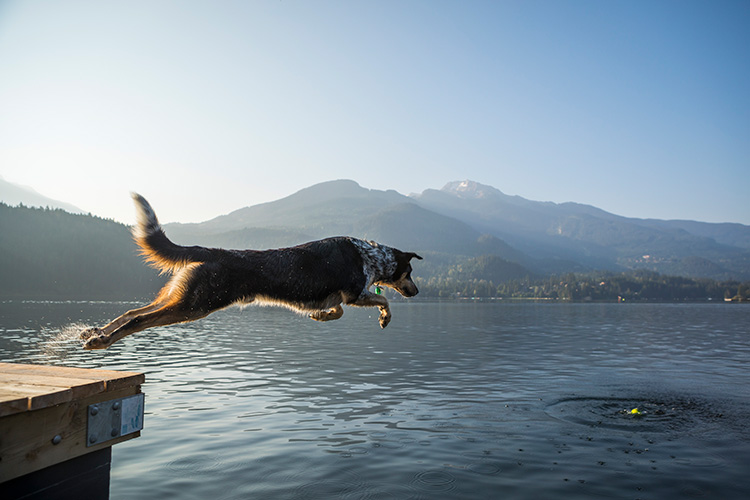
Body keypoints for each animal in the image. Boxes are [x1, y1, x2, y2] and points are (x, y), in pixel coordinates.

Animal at [83, 193, 424, 350]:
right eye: (409, 272)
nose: (418, 291)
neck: (370, 256)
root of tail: (214, 251)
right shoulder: (355, 293)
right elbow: (384, 301)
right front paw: (384, 318)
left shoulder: (337, 297)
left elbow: (334, 311)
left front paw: (321, 316)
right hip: (195, 306)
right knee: (138, 320)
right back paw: (101, 341)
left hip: (182, 297)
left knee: (131, 311)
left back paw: (96, 332)